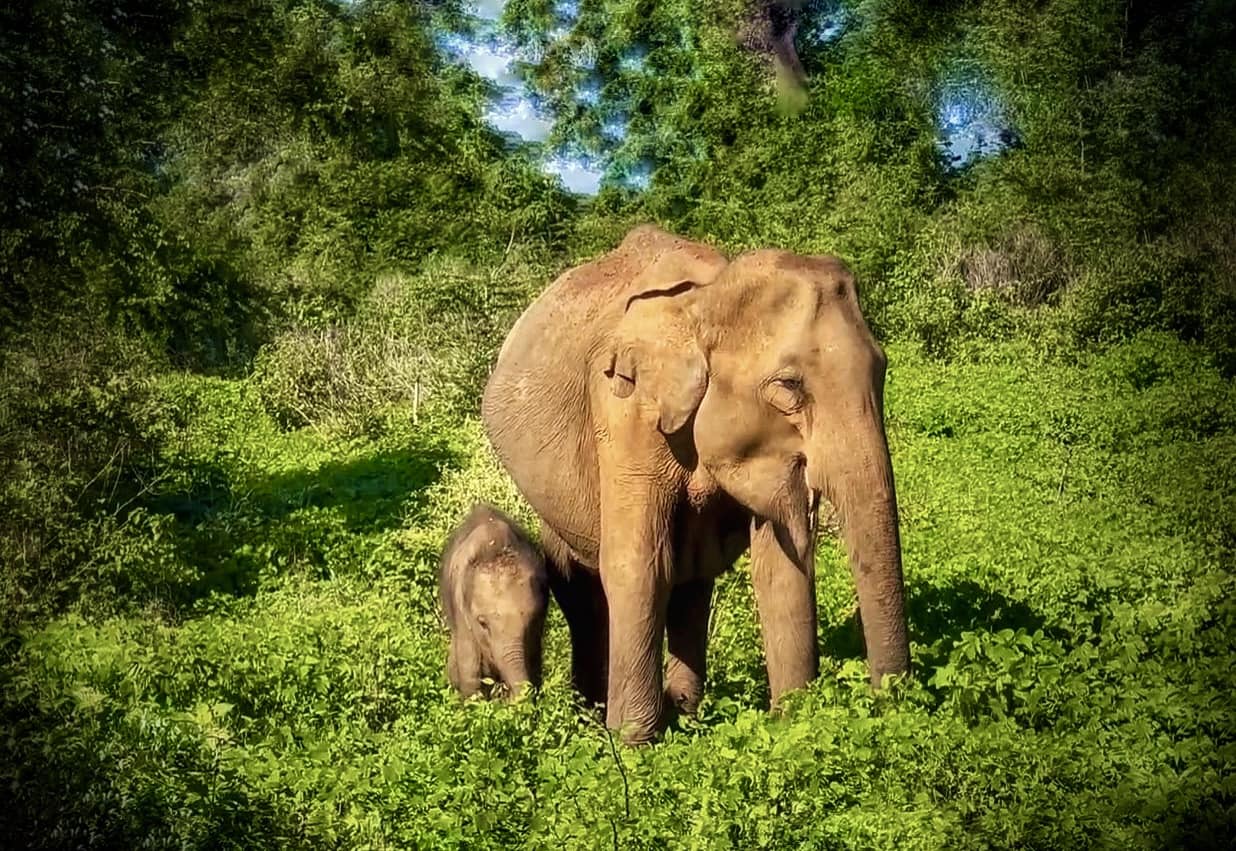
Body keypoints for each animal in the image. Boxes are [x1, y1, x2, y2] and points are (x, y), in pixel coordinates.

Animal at [482, 222, 909, 741]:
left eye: (882, 369)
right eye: (789, 386)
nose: (890, 700)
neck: (705, 300)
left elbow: (779, 566)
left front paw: (791, 724)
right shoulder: (625, 409)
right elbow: (637, 564)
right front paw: (633, 744)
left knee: (691, 579)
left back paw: (686, 712)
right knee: (582, 582)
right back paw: (594, 716)